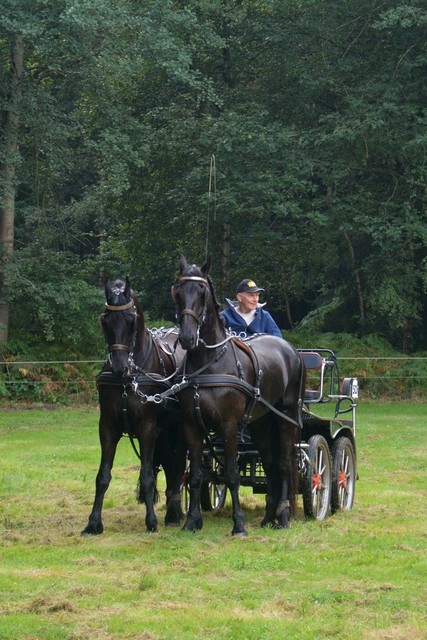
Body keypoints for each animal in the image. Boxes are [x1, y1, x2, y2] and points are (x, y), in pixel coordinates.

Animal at [82, 278, 186, 532]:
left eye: (131, 321)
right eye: (104, 321)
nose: (120, 367)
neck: (128, 381)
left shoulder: (147, 427)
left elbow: (147, 477)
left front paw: (151, 522)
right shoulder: (107, 427)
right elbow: (103, 476)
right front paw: (93, 522)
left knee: (176, 464)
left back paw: (173, 513)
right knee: (169, 463)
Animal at [172, 255, 306, 536]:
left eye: (202, 292)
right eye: (179, 290)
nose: (187, 337)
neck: (209, 362)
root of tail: (292, 350)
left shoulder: (228, 425)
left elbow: (232, 474)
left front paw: (239, 525)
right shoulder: (191, 425)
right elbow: (196, 475)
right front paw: (191, 522)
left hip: (286, 416)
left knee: (284, 462)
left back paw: (283, 515)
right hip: (261, 422)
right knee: (269, 462)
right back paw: (269, 517)